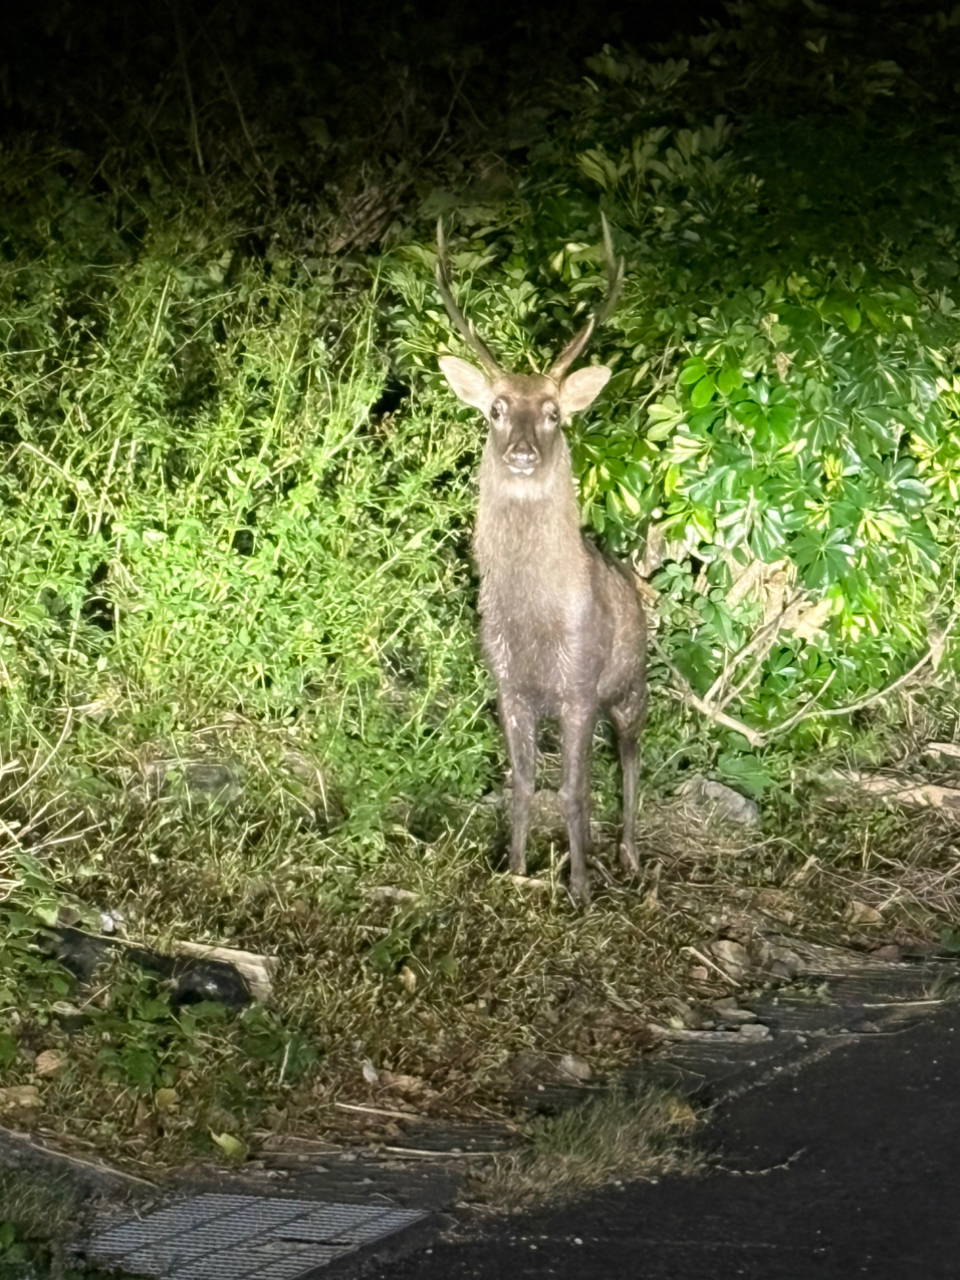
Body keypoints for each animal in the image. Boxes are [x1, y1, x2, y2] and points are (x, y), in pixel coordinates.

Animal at [437, 217, 650, 901]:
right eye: (496, 408)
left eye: (554, 413)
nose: (524, 452)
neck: (536, 621)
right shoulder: (508, 684)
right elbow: (525, 782)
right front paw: (517, 868)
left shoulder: (580, 684)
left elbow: (576, 789)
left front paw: (579, 887)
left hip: (632, 683)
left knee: (632, 759)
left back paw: (629, 853)